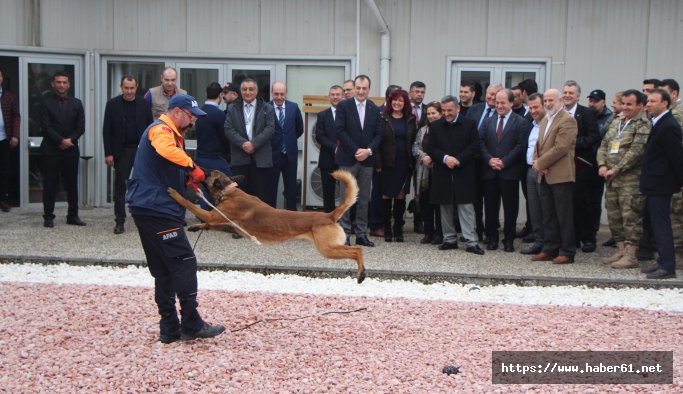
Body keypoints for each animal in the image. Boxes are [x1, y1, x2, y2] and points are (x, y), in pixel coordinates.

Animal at [168, 169, 366, 284]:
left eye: (207, 174)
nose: (190, 171)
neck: (229, 191)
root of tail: (329, 215)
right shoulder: (229, 226)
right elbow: (209, 224)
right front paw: (196, 227)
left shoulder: (214, 215)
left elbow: (190, 204)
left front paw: (175, 193)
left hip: (328, 249)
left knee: (357, 250)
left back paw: (361, 273)